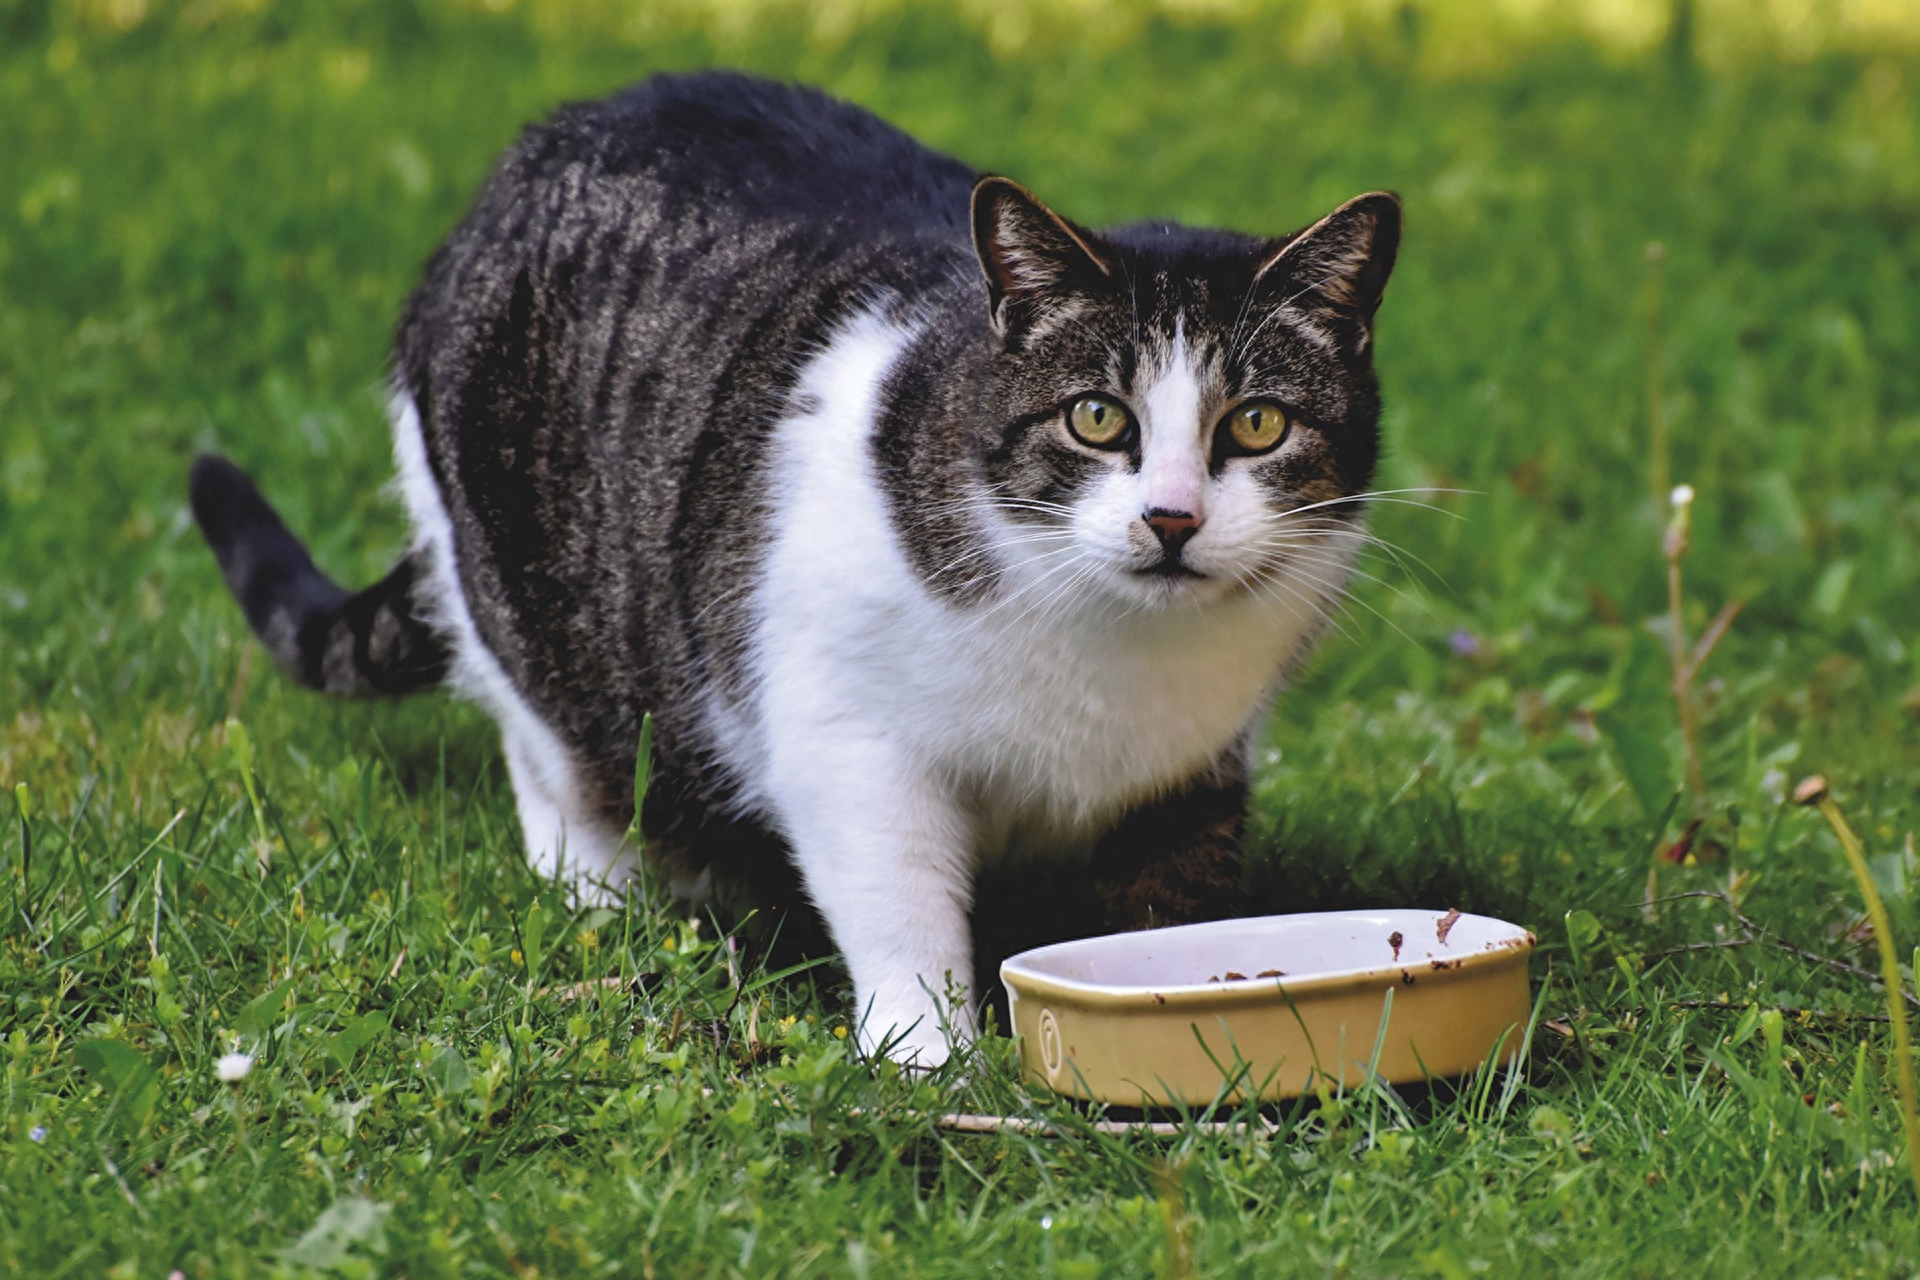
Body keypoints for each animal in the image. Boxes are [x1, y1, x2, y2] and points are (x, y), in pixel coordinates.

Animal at [191, 70, 1397, 1074]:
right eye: (1098, 417)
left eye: (1258, 423)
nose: (1173, 517)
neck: (1112, 653)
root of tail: (517, 167)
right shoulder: (844, 734)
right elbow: (898, 899)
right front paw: (928, 1053)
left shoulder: (1194, 767)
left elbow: (1169, 906)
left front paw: (1180, 1007)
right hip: (519, 590)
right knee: (550, 751)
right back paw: (607, 890)